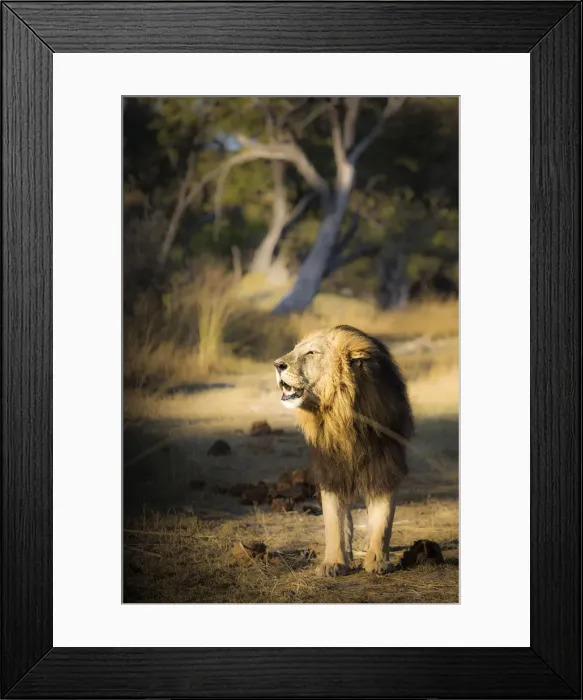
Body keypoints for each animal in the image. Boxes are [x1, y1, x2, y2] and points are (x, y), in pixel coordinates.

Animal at [274, 325, 414, 577]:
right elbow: (335, 523)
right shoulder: (331, 472)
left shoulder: (385, 468)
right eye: (294, 350)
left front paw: (377, 561)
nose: (277, 365)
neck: (342, 416)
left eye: (311, 353)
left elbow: (383, 521)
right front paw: (333, 563)